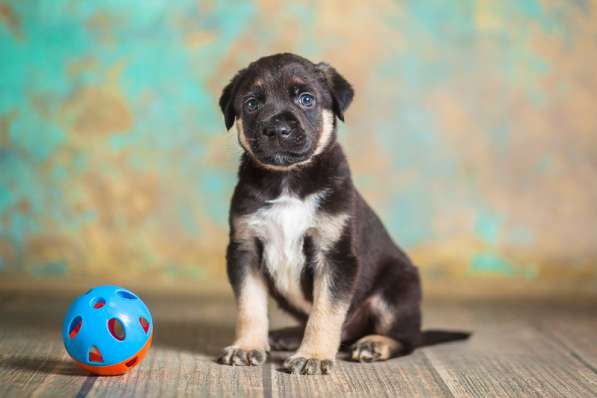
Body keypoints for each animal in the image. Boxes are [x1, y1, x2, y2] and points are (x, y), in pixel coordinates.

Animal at [217, 53, 468, 376]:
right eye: (251, 104)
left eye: (307, 99)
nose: (277, 130)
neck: (288, 180)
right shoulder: (245, 250)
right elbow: (249, 306)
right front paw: (247, 347)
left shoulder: (335, 257)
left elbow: (325, 312)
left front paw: (312, 356)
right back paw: (289, 335)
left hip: (397, 293)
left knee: (406, 338)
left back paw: (375, 344)